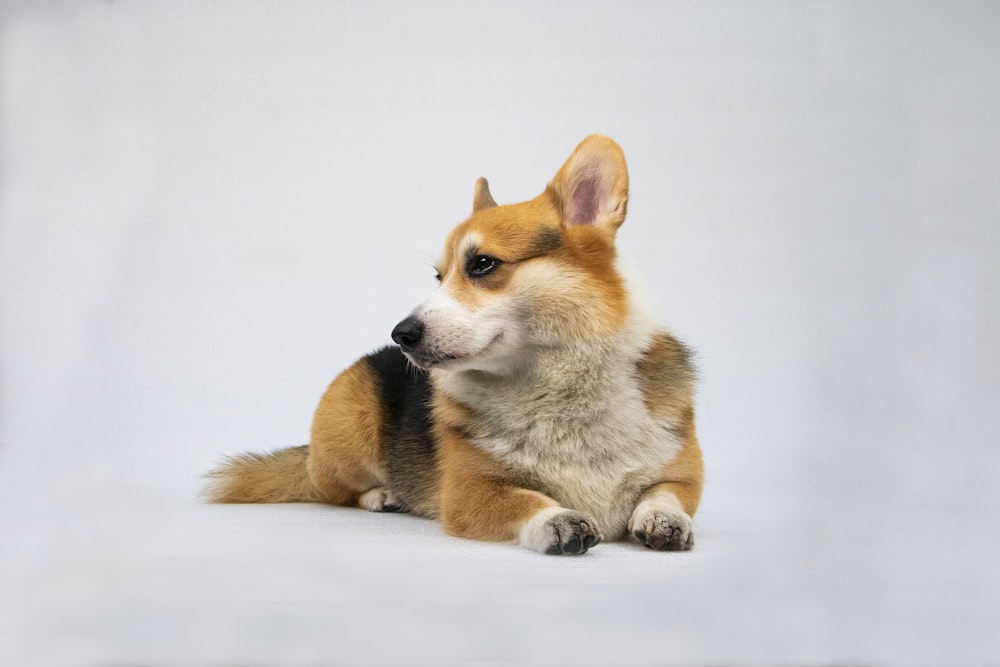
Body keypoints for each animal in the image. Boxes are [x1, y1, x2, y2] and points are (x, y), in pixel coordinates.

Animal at [205, 136, 704, 552]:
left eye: (482, 264)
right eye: (438, 277)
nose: (401, 334)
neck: (557, 387)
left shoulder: (685, 473)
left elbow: (666, 494)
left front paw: (664, 520)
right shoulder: (469, 492)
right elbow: (527, 501)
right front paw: (558, 520)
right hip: (349, 438)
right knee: (337, 492)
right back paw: (382, 494)